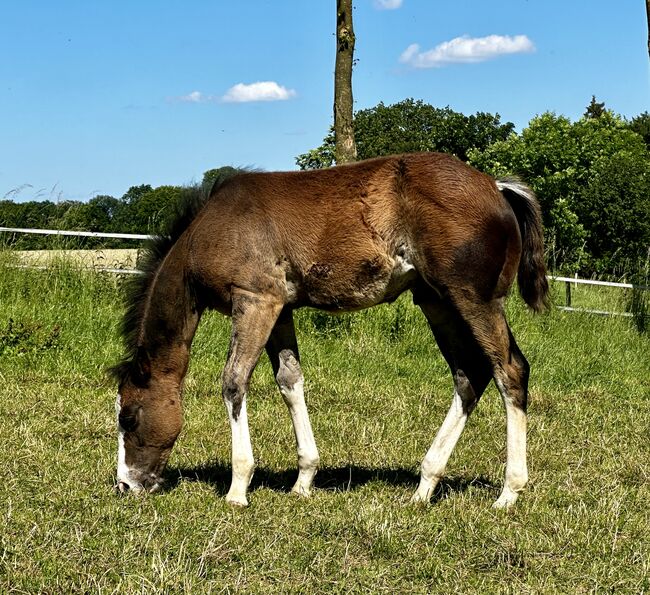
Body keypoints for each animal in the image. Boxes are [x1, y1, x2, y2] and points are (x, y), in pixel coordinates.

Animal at [111, 152, 548, 508]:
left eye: (128, 418)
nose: (126, 485)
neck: (210, 229)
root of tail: (496, 186)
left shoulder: (255, 301)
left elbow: (234, 381)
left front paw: (237, 489)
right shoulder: (280, 308)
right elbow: (289, 380)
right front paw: (303, 480)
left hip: (473, 298)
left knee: (510, 370)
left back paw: (509, 491)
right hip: (437, 301)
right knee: (469, 375)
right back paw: (424, 487)